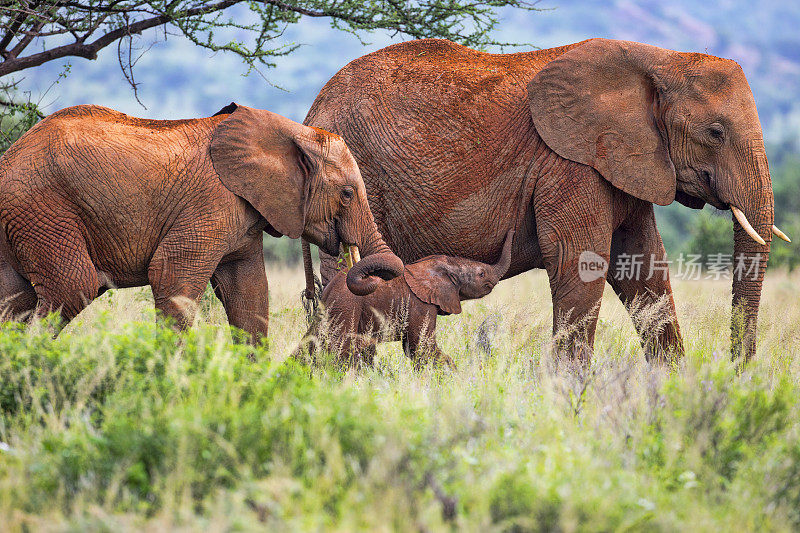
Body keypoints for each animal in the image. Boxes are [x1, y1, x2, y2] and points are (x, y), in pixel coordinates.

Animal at [298, 230, 512, 366]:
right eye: (481, 274)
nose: (511, 232)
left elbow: (412, 349)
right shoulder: (420, 305)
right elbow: (422, 347)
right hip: (346, 306)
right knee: (339, 348)